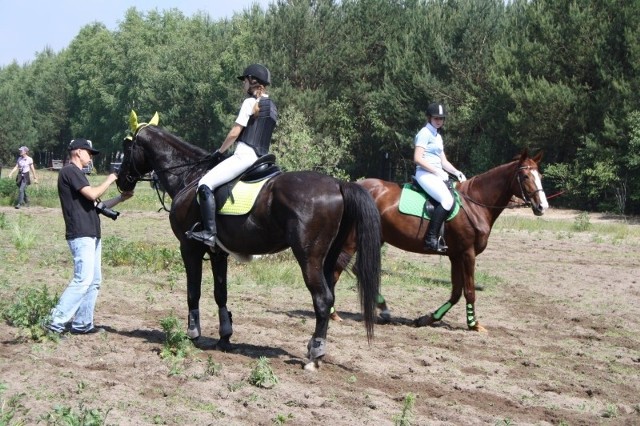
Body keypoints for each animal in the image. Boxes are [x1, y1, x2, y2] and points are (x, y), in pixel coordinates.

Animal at [115, 120, 380, 370]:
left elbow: (193, 292)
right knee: (329, 297)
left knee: (322, 299)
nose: (121, 183)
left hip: (309, 258)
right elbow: (220, 293)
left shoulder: (189, 248)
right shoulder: (218, 253)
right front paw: (224, 338)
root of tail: (338, 184)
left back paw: (314, 357)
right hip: (330, 257)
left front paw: (193, 334)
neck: (189, 176)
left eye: (127, 148)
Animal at [332, 149, 548, 330]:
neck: (476, 204)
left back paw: (384, 309)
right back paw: (333, 313)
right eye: (525, 176)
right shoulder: (468, 253)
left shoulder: (455, 255)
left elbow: (456, 292)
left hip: (376, 238)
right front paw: (474, 324)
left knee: (356, 269)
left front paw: (427, 318)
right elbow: (469, 290)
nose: (542, 207)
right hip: (352, 240)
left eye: (540, 177)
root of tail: (354, 187)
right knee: (337, 269)